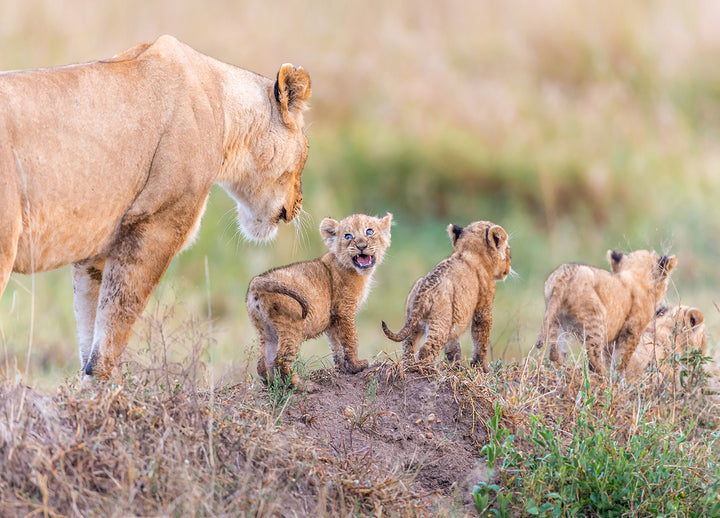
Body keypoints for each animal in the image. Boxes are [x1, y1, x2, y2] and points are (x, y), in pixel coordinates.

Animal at [0, 35, 312, 379]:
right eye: (307, 150)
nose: (299, 204)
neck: (225, 111)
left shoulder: (94, 253)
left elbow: (89, 336)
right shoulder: (154, 228)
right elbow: (112, 334)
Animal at [246, 213, 392, 388]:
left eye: (369, 231)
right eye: (348, 236)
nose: (361, 246)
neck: (357, 271)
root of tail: (257, 281)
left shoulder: (332, 318)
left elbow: (336, 345)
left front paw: (343, 368)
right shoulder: (344, 309)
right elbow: (350, 340)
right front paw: (357, 365)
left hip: (265, 329)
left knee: (262, 363)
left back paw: (275, 385)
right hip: (292, 324)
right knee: (281, 359)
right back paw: (302, 386)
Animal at [381, 220, 511, 370]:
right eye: (508, 250)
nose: (509, 267)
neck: (468, 250)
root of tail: (423, 291)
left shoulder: (455, 319)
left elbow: (453, 346)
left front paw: (456, 365)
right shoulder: (483, 308)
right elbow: (481, 339)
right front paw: (481, 367)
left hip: (414, 321)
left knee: (408, 345)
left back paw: (409, 365)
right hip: (440, 323)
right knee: (426, 349)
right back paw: (426, 370)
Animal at [534, 250, 677, 375]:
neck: (636, 275)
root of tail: (562, 276)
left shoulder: (613, 338)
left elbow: (611, 357)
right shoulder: (632, 329)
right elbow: (624, 358)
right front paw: (620, 378)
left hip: (556, 319)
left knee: (555, 353)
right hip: (595, 320)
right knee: (594, 359)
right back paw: (604, 381)